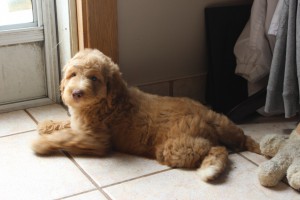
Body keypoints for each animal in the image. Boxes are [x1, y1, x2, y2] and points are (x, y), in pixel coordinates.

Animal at [31, 48, 258, 181]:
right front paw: (48, 124)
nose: (76, 93)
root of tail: (206, 115)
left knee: (216, 148)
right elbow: (68, 124)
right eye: (73, 74)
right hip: (216, 123)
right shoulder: (81, 125)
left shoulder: (95, 140)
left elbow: (66, 137)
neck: (107, 101)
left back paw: (210, 168)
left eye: (94, 78)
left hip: (175, 147)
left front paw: (42, 143)